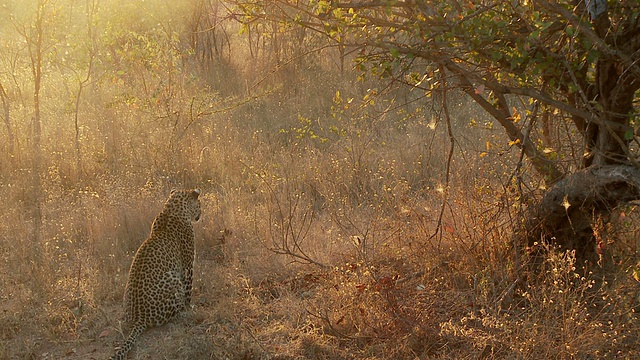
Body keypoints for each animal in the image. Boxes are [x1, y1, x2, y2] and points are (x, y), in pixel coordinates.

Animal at [109, 190, 200, 358]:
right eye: (200, 204)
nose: (200, 214)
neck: (172, 208)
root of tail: (139, 319)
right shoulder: (187, 265)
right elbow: (188, 291)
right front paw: (189, 307)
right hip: (173, 279)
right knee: (172, 314)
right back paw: (183, 314)